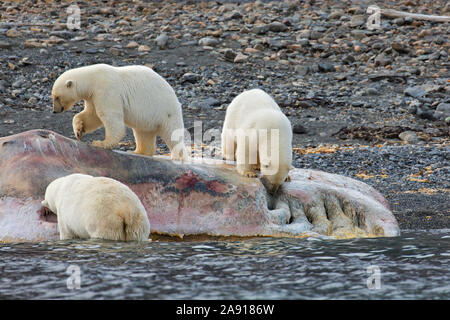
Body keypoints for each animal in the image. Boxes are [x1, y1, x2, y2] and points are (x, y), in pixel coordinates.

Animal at [50, 63, 186, 160]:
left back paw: (178, 157)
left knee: (172, 134)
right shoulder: (93, 96)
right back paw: (138, 151)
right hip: (147, 120)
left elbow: (109, 116)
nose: (55, 110)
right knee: (143, 133)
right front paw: (78, 130)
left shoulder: (106, 90)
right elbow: (92, 115)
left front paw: (101, 143)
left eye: (57, 97)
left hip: (166, 112)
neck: (92, 79)